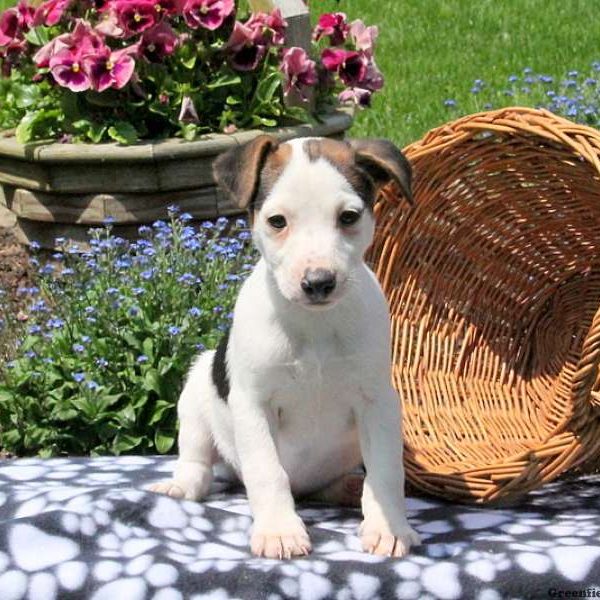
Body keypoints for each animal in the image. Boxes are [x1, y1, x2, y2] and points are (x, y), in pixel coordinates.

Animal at [150, 135, 422, 556]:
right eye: (277, 221)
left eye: (348, 217)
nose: (319, 282)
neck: (314, 325)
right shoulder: (254, 404)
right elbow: (267, 471)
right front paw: (279, 530)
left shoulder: (377, 402)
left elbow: (385, 472)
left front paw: (388, 527)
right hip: (195, 395)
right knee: (196, 462)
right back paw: (180, 486)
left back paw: (348, 487)